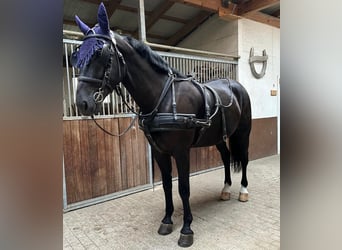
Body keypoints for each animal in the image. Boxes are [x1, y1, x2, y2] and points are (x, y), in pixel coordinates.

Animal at [72, 2, 251, 247]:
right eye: (78, 55)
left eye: (100, 52)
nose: (82, 103)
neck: (162, 98)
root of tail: (235, 85)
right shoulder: (159, 152)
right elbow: (167, 185)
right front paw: (167, 220)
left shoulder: (181, 151)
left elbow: (183, 188)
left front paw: (186, 229)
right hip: (218, 137)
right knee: (225, 157)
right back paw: (225, 190)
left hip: (243, 132)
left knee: (244, 158)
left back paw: (243, 191)